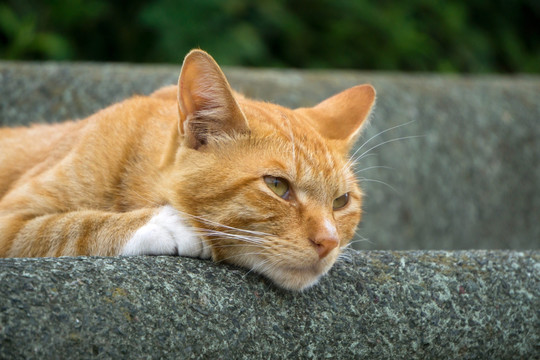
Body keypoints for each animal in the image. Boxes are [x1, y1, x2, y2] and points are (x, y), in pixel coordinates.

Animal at [0, 50, 376, 290]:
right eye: (277, 185)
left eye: (341, 201)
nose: (329, 241)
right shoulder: (10, 219)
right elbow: (72, 225)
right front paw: (170, 225)